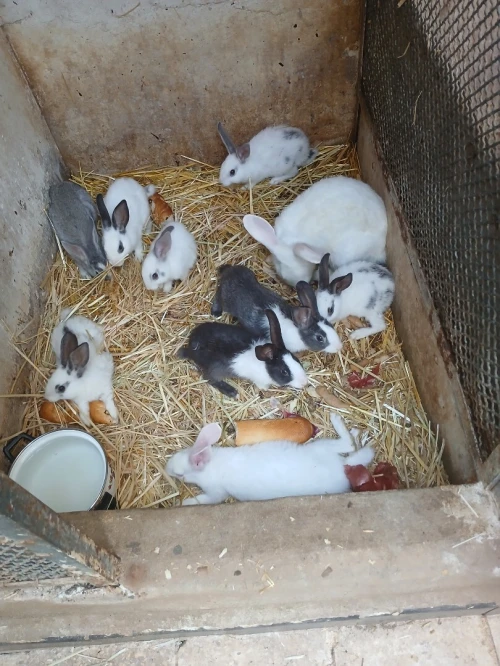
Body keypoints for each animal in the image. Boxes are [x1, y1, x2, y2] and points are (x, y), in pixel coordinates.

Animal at [166, 414, 375, 505]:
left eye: (180, 474)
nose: (167, 468)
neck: (211, 465)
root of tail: (343, 467)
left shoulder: (216, 493)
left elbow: (205, 499)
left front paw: (185, 503)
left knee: (348, 444)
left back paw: (335, 418)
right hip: (323, 447)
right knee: (348, 445)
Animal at [178, 309, 308, 398]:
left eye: (296, 359)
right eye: (284, 372)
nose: (304, 382)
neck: (265, 365)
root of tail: (190, 346)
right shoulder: (260, 380)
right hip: (214, 370)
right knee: (209, 379)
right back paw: (232, 392)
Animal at [211, 265, 342, 353]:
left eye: (330, 325)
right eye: (319, 338)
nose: (339, 347)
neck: (297, 330)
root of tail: (230, 272)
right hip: (226, 300)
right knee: (218, 294)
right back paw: (215, 312)